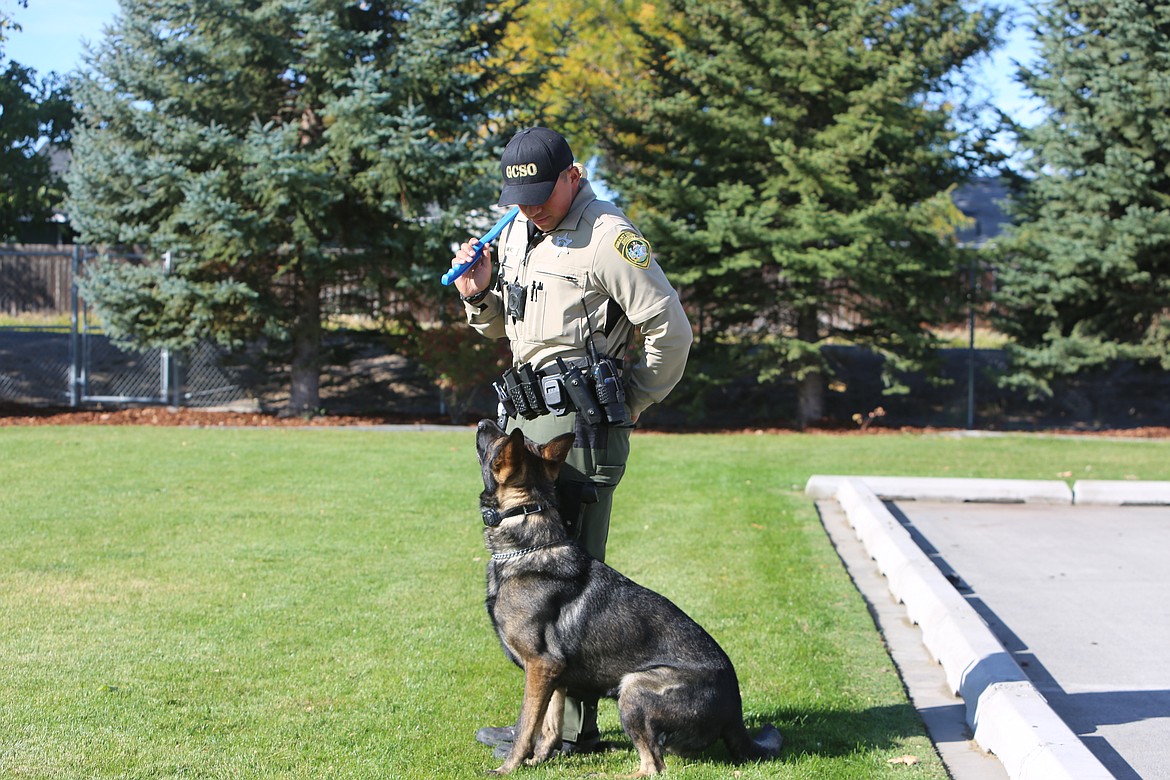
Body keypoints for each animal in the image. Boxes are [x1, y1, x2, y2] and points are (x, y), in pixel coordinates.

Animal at [475, 420, 786, 776]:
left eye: (498, 441)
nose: (484, 422)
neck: (528, 541)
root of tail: (735, 712)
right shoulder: (555, 675)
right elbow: (550, 727)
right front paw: (538, 761)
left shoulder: (541, 666)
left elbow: (526, 725)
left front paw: (509, 767)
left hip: (634, 688)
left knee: (653, 765)